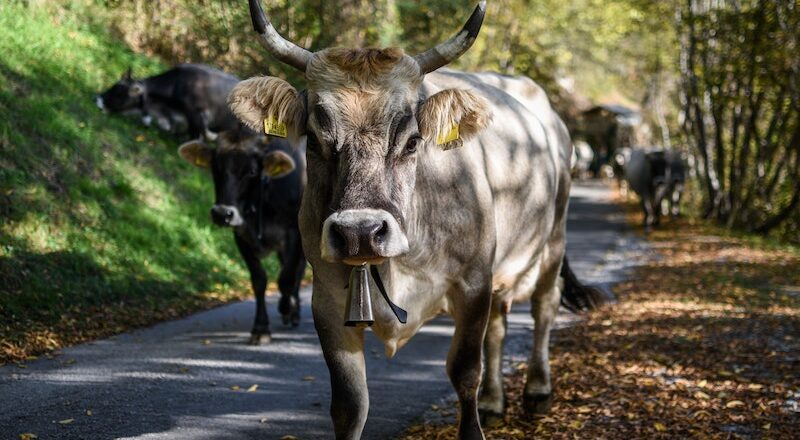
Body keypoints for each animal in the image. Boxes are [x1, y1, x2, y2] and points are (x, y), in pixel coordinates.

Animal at [178, 125, 306, 342]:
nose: (222, 214)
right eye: (215, 168)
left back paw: (293, 310)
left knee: (298, 271)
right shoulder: (241, 236)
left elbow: (287, 278)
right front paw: (261, 328)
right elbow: (259, 280)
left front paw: (287, 307)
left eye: (252, 171)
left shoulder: (295, 232)